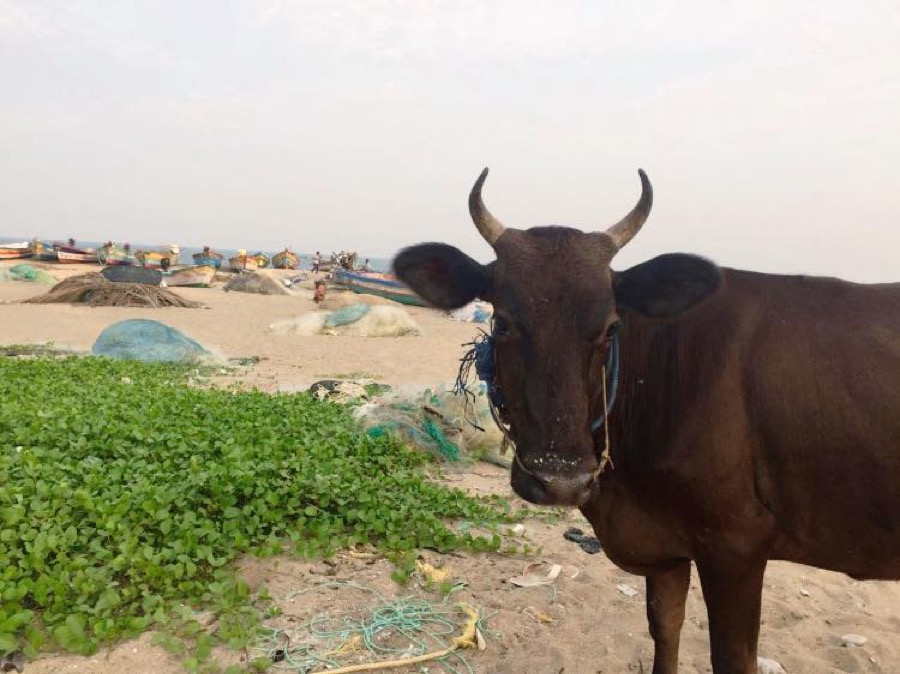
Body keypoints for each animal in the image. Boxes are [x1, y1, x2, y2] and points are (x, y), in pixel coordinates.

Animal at [392, 169, 900, 674]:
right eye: (503, 323)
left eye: (611, 327)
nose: (560, 481)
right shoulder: (667, 547)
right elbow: (665, 627)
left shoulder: (737, 545)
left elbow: (731, 657)